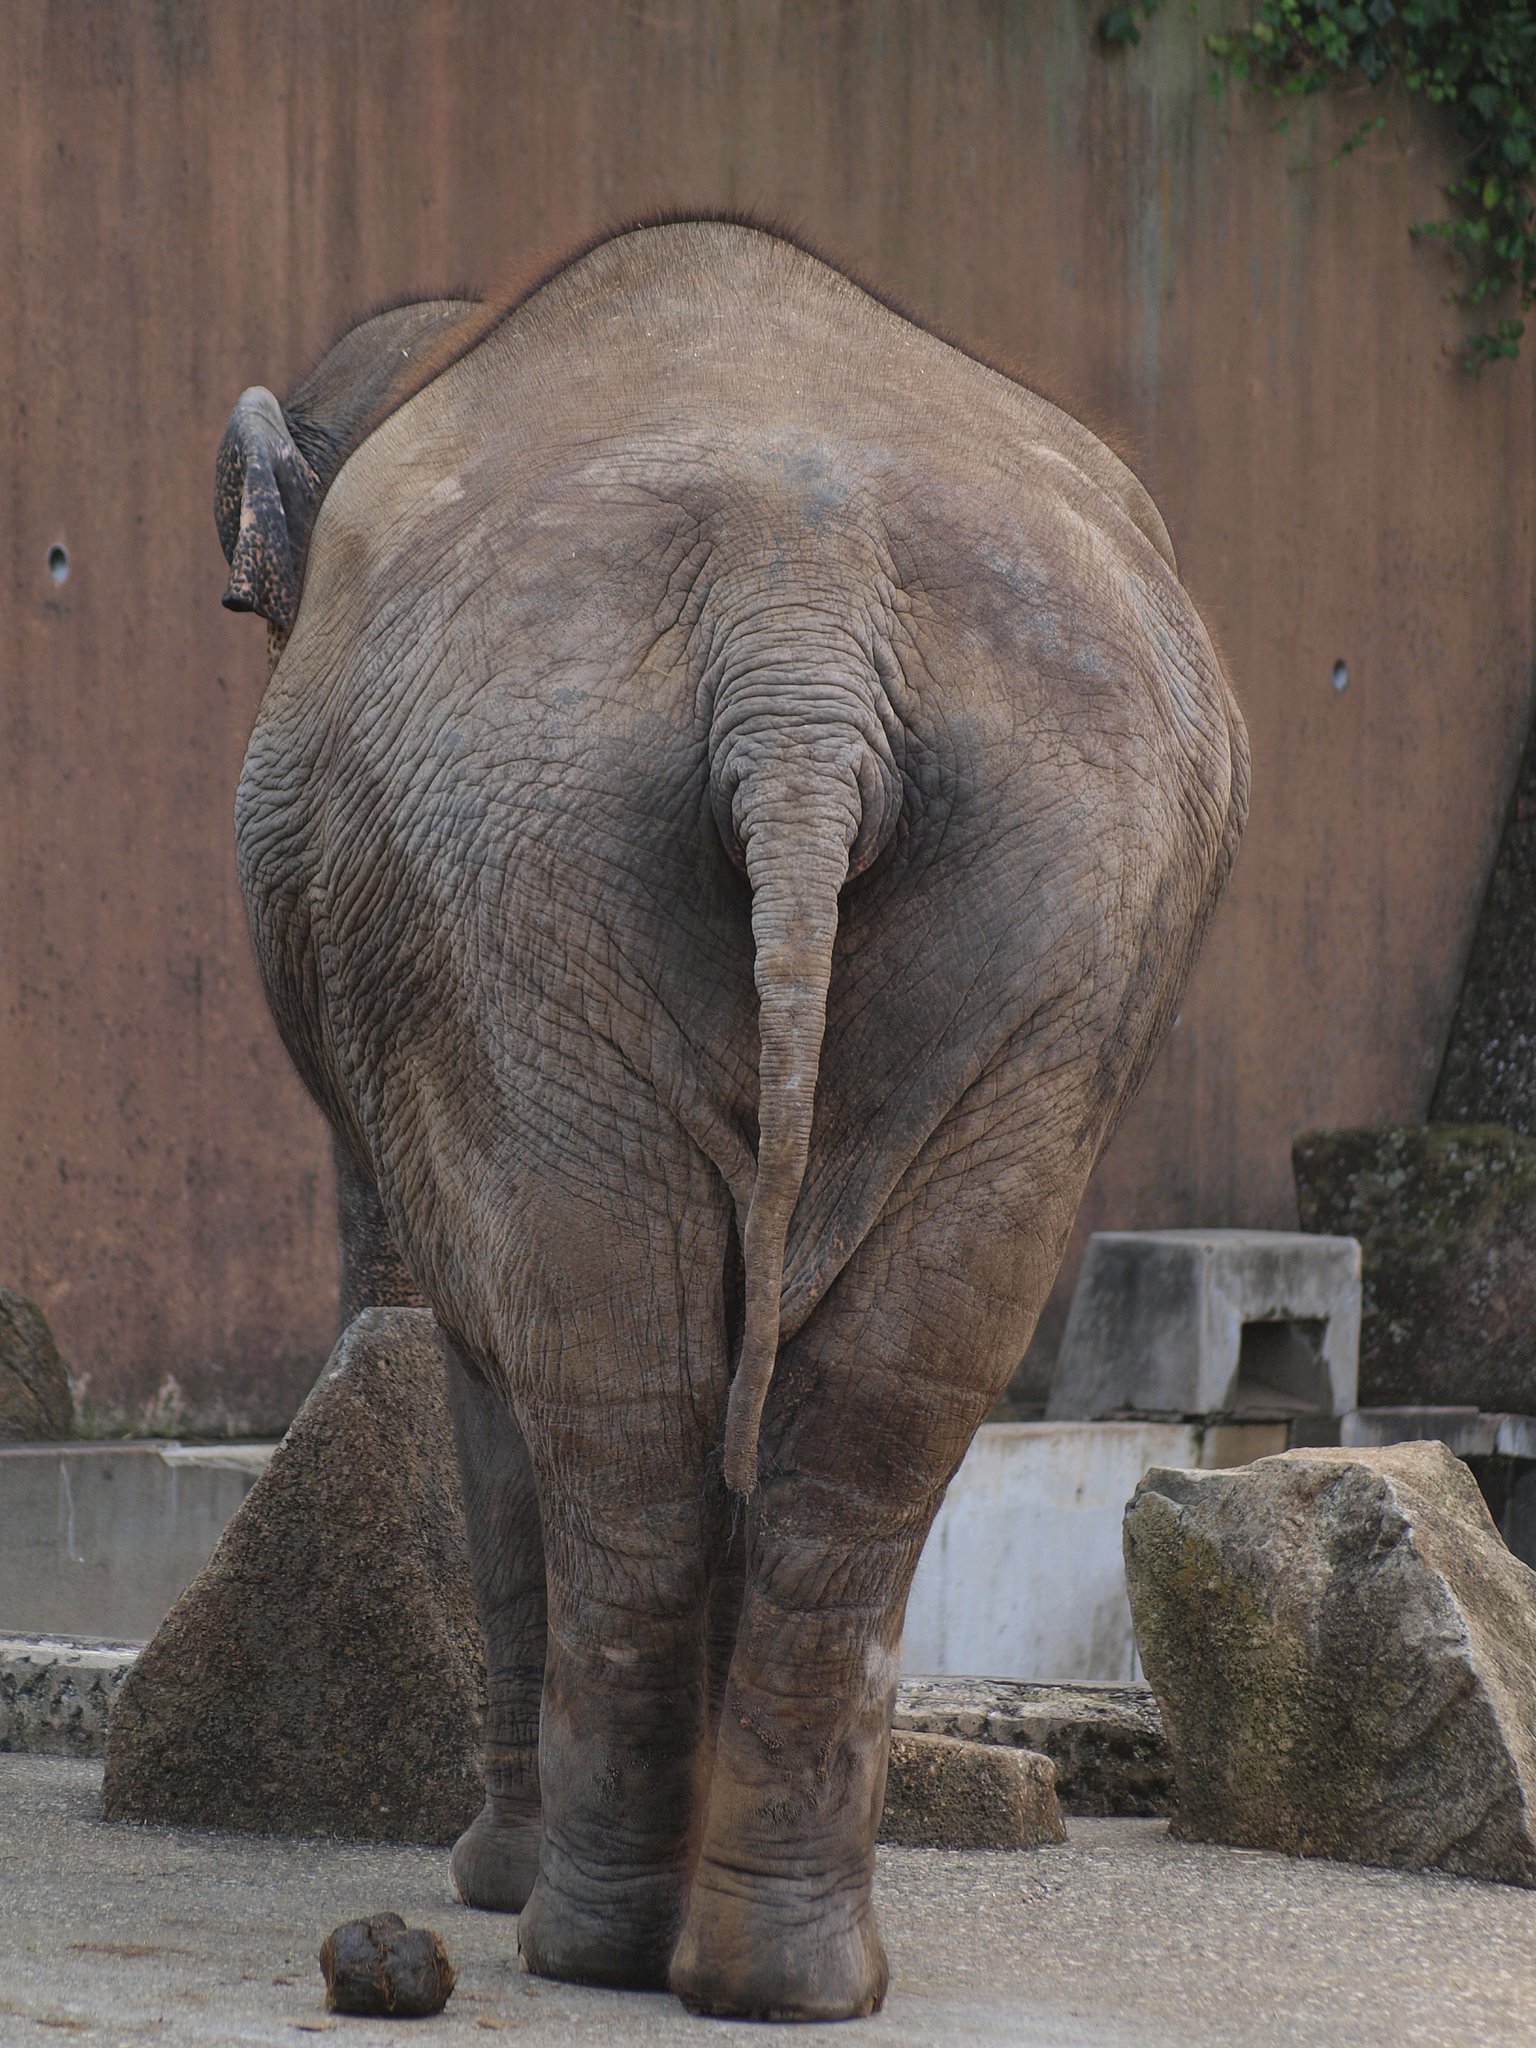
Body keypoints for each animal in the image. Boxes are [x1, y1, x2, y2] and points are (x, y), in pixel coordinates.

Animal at [217, 217, 1247, 2022]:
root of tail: (800, 632)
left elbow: (488, 1363)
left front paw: (488, 1882)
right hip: (1045, 886)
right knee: (875, 1393)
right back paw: (777, 1972)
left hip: (524, 873)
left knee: (611, 1378)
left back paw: (588, 1938)